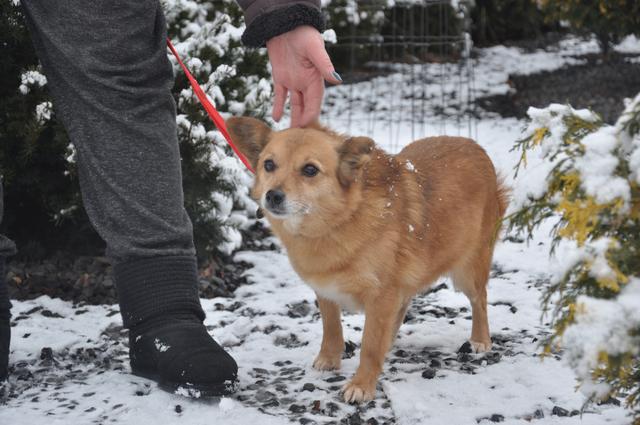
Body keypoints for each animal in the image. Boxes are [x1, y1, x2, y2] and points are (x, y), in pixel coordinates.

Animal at [227, 117, 508, 403]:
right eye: (268, 165)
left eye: (310, 170)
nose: (272, 195)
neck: (341, 219)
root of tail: (475, 146)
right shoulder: (326, 291)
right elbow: (332, 328)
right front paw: (329, 359)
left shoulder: (381, 296)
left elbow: (370, 346)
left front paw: (362, 384)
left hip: (467, 271)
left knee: (479, 300)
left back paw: (480, 339)